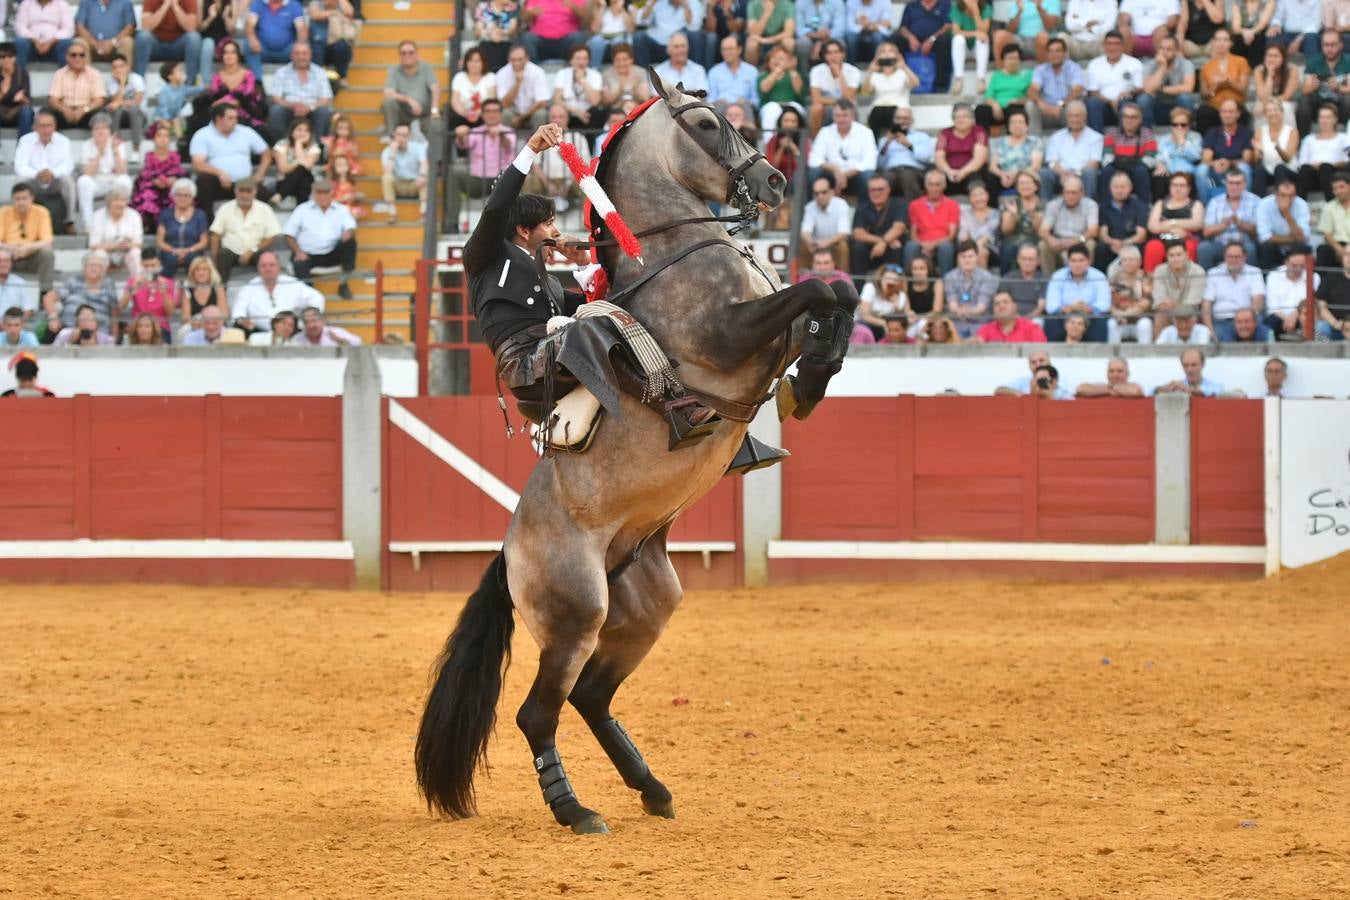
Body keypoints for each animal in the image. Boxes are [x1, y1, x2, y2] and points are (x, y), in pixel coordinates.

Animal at [413, 70, 853, 836]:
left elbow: (836, 294)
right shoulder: (734, 337)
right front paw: (809, 380)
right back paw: (575, 809)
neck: (676, 251)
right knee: (538, 713)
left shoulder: (771, 332)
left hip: (648, 604)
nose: (771, 180)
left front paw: (813, 378)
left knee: (589, 697)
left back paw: (652, 788)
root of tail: (509, 555)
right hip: (577, 612)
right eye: (705, 124)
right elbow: (819, 287)